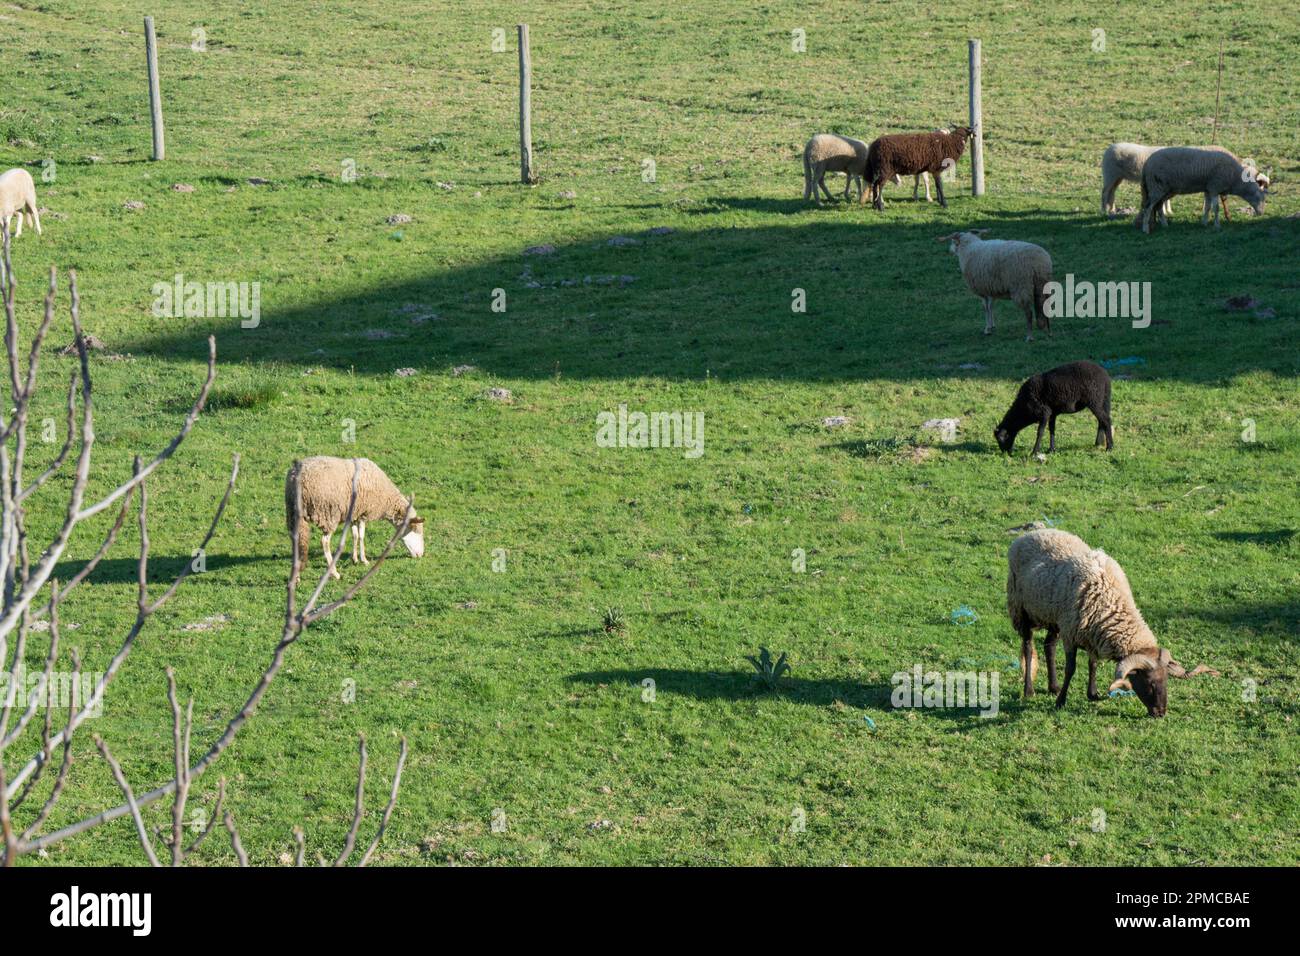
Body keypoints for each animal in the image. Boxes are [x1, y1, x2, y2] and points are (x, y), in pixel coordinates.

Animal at [286, 457, 423, 582]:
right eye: (416, 531)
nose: (421, 555)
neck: (386, 498)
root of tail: (294, 479)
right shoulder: (363, 513)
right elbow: (361, 536)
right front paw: (364, 559)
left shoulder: (353, 514)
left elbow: (355, 535)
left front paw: (355, 559)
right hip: (328, 513)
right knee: (324, 542)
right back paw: (334, 573)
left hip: (293, 514)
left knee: (299, 541)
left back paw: (296, 576)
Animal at [1003, 530, 1216, 717]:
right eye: (1149, 683)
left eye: (1166, 681)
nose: (1160, 713)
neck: (1111, 602)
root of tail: (1031, 533)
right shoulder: (1071, 635)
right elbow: (1071, 669)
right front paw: (1061, 702)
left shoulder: (1090, 634)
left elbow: (1093, 663)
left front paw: (1092, 694)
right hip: (1021, 610)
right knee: (1028, 647)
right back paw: (1029, 690)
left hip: (1053, 617)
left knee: (1049, 646)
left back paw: (1053, 687)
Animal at [1138, 146, 1268, 234]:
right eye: (1260, 198)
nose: (1261, 213)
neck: (1235, 178)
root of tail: (1147, 164)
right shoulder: (1215, 187)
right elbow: (1216, 208)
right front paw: (1217, 225)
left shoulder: (1208, 189)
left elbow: (1208, 207)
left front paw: (1204, 223)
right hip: (1156, 186)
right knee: (1148, 207)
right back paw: (1145, 229)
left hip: (1164, 189)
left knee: (1158, 206)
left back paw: (1165, 225)